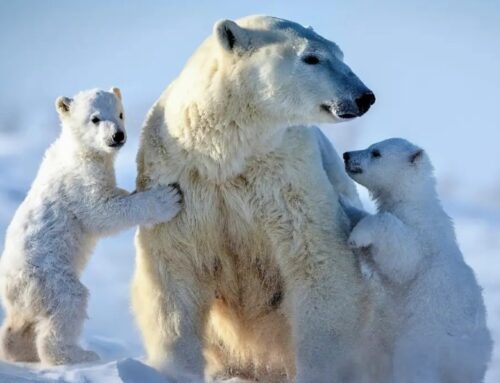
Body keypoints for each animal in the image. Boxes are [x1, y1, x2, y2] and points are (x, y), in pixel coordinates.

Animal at [133, 16, 376, 382]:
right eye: (312, 57)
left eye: (339, 52)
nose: (364, 97)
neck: (226, 153)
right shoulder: (181, 182)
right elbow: (174, 274)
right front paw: (177, 370)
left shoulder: (285, 177)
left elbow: (317, 263)